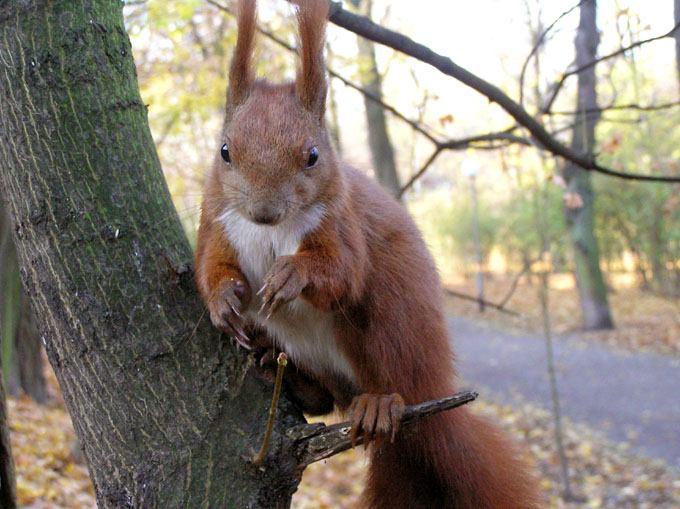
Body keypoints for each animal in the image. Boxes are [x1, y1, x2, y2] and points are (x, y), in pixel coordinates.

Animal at [195, 0, 540, 504]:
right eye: (224, 151)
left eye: (313, 155)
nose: (263, 212)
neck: (271, 233)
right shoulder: (216, 223)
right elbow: (210, 267)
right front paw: (223, 302)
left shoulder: (343, 223)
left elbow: (341, 271)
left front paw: (290, 275)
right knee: (327, 400)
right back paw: (287, 375)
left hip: (390, 327)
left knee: (392, 377)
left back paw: (380, 402)